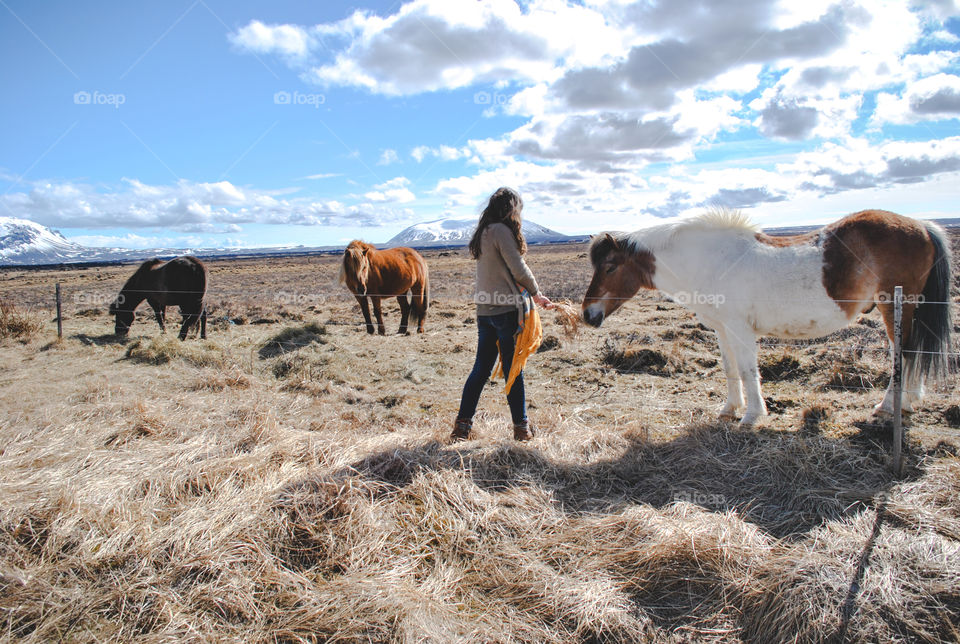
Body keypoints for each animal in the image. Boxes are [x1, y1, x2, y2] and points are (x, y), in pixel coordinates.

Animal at [584, 209, 952, 426]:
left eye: (610, 267)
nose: (588, 314)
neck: (710, 259)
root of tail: (921, 224)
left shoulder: (741, 330)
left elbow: (749, 371)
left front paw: (751, 416)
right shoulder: (723, 330)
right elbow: (730, 369)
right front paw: (729, 409)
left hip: (896, 308)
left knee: (902, 353)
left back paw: (888, 406)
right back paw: (909, 402)